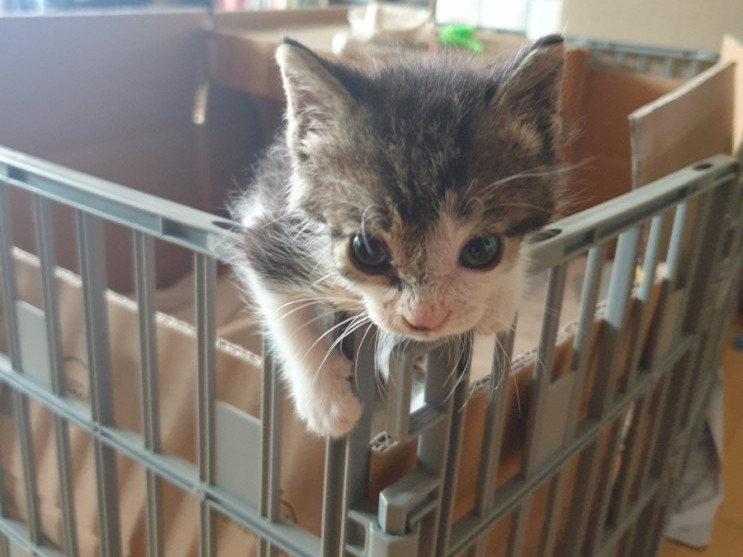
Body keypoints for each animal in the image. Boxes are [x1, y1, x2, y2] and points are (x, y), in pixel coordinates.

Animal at [230, 36, 566, 437]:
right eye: (367, 250)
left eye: (482, 249)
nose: (424, 320)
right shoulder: (266, 227)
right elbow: (282, 308)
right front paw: (326, 401)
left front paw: (500, 301)